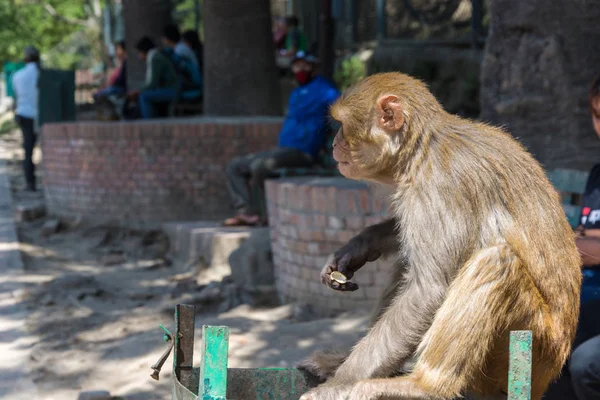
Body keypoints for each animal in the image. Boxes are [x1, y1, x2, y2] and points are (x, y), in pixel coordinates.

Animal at [298, 72, 584, 400]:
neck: (421, 149)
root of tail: (552, 371)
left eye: (342, 126)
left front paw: (339, 385)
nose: (334, 144)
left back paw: (425, 386)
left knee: (495, 262)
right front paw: (360, 244)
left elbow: (428, 291)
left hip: (531, 344)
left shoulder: (440, 185)